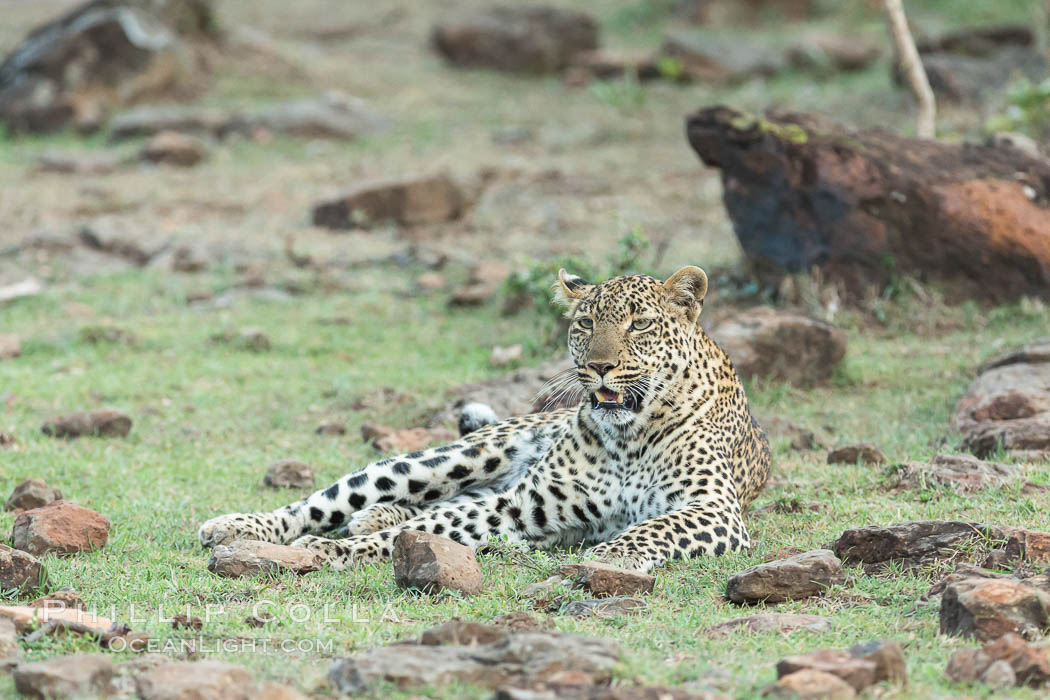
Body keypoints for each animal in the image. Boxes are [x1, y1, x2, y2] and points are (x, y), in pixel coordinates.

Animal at [197, 265, 772, 570]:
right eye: (586, 323)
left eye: (640, 325)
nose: (600, 367)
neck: (628, 435)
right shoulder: (521, 506)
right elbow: (424, 529)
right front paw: (329, 549)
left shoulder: (713, 510)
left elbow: (648, 530)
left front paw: (609, 556)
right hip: (452, 458)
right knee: (328, 500)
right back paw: (236, 526)